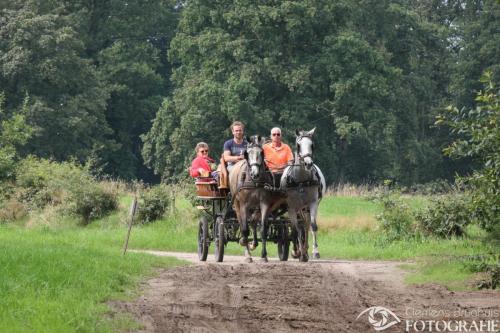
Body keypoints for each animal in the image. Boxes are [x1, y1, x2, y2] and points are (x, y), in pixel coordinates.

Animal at [280, 128, 326, 260]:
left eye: (312, 145)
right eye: (298, 145)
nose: (308, 163)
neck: (301, 180)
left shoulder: (313, 203)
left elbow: (313, 226)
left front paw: (314, 251)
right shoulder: (291, 207)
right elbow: (295, 229)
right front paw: (297, 252)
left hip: (307, 207)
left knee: (306, 225)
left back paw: (306, 250)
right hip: (299, 208)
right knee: (300, 226)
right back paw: (301, 250)